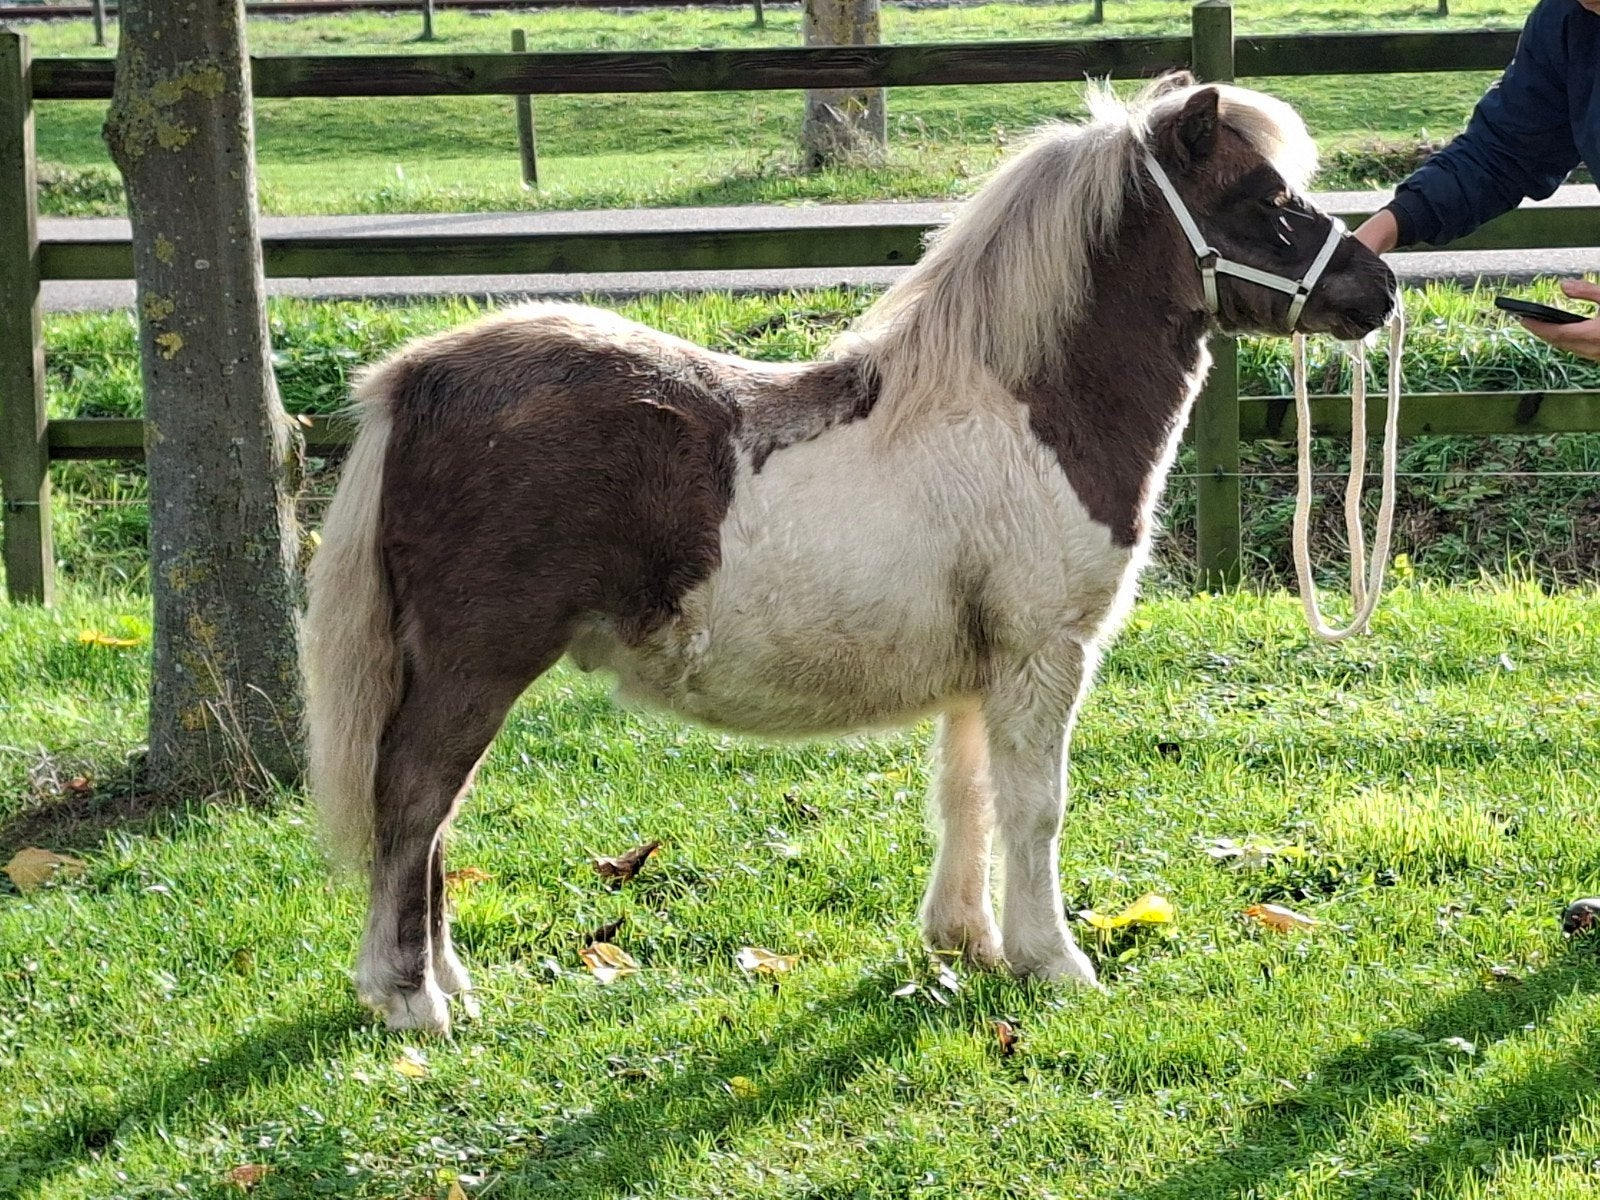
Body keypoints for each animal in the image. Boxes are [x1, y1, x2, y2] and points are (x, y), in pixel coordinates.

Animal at [304, 75, 1396, 1034]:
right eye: (1267, 200)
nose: (1380, 284)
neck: (1021, 411)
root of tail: (416, 381)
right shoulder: (1044, 655)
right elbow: (1035, 808)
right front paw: (1054, 962)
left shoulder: (984, 669)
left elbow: (967, 797)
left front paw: (968, 946)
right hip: (475, 667)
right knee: (414, 801)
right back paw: (414, 1001)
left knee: (435, 818)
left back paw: (449, 981)